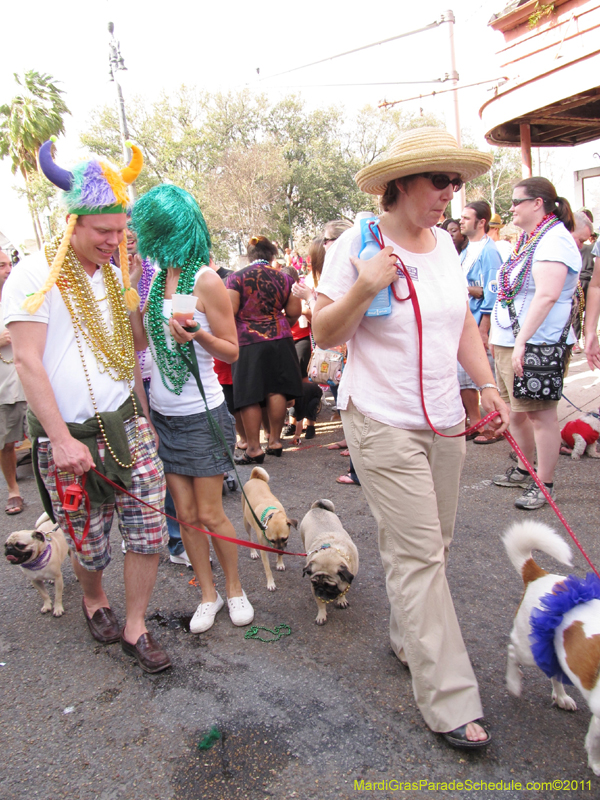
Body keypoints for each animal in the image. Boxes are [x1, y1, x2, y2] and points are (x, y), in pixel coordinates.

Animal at [504, 520, 600, 776]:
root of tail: (539, 575)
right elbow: (595, 745)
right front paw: (596, 765)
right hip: (528, 649)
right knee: (512, 652)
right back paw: (514, 683)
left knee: (555, 673)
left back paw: (562, 697)